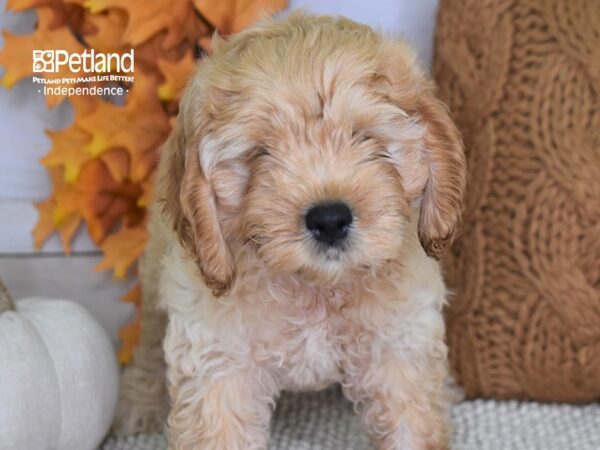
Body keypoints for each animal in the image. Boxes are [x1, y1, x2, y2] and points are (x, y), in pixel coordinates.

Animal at [116, 11, 464, 450]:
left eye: (365, 138)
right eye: (260, 153)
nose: (329, 219)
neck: (314, 288)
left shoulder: (399, 344)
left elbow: (411, 422)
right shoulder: (218, 359)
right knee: (146, 343)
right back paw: (138, 404)